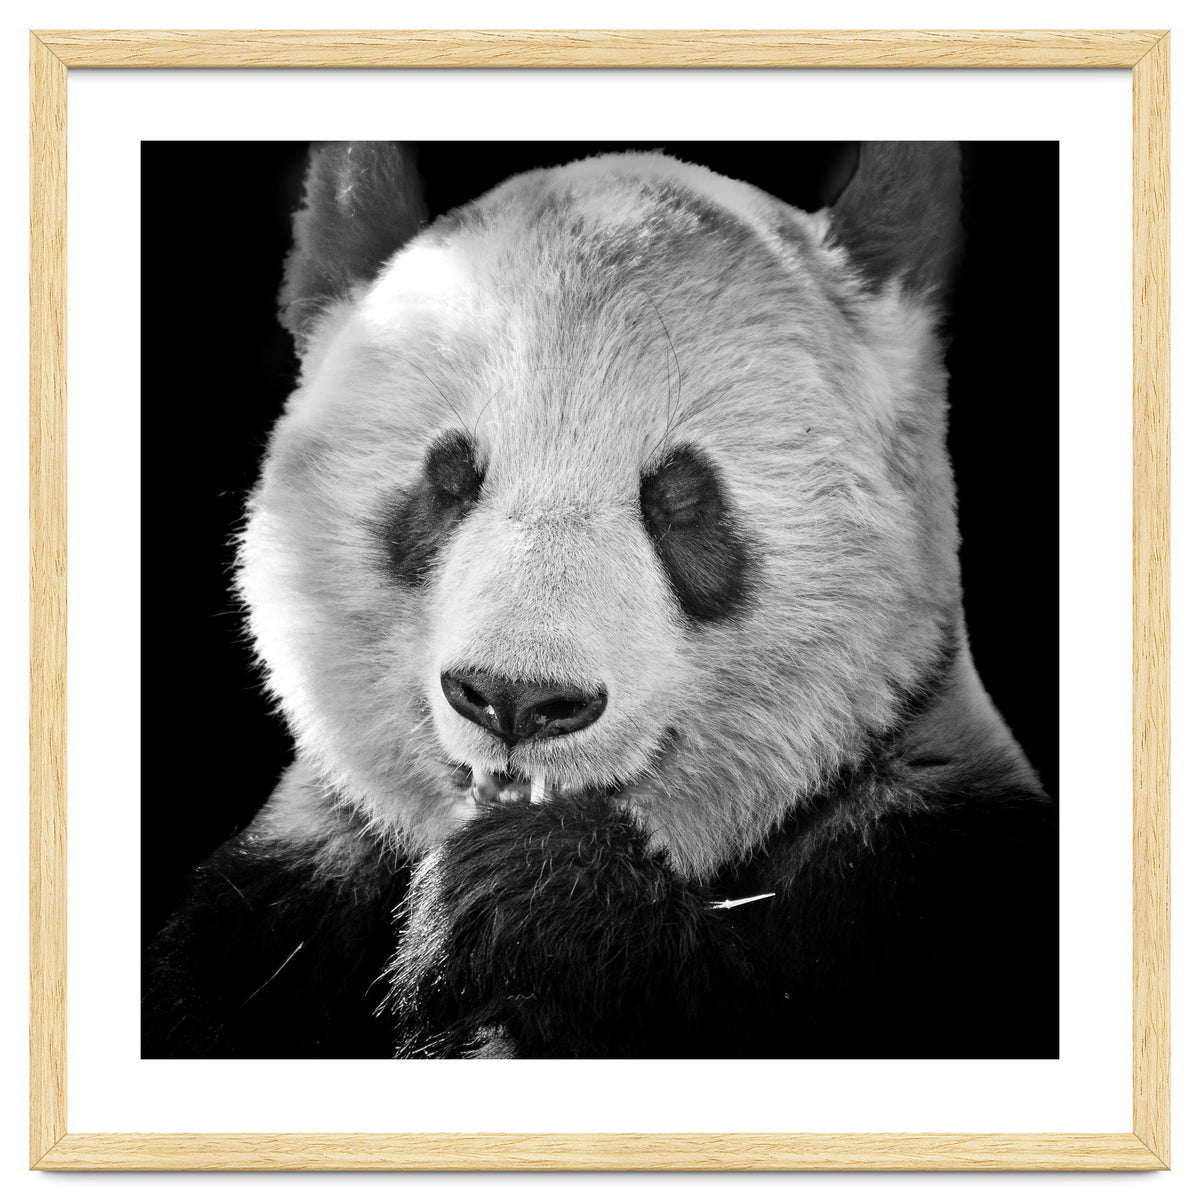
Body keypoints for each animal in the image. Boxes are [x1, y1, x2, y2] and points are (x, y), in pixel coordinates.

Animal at [143, 142, 1058, 1060]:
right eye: (449, 479)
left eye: (681, 499)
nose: (516, 698)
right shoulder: (277, 906)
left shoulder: (926, 871)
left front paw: (535, 899)